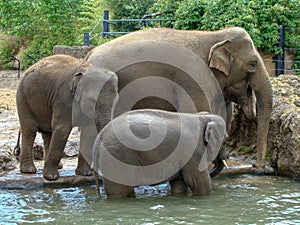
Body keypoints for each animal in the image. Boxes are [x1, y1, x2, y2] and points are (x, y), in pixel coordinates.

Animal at [85, 26, 274, 171]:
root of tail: (89, 54)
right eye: (252, 65)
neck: (215, 35)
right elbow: (197, 111)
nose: (256, 166)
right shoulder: (194, 79)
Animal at [92, 109, 226, 197]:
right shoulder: (193, 151)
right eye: (225, 141)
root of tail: (99, 137)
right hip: (117, 156)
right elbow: (197, 181)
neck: (200, 117)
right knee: (120, 191)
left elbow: (179, 184)